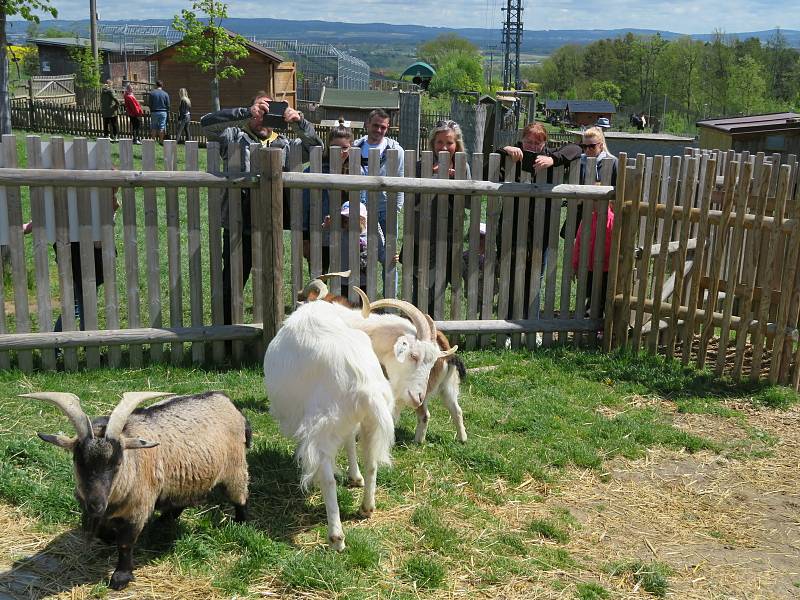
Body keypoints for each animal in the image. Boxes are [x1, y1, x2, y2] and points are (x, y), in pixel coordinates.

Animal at [266, 290, 454, 548]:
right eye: (414, 356)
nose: (418, 398)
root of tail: (364, 382)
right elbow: (351, 445)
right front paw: (355, 478)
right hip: (371, 422)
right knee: (371, 462)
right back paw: (367, 507)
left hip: (324, 424)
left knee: (328, 479)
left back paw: (336, 536)